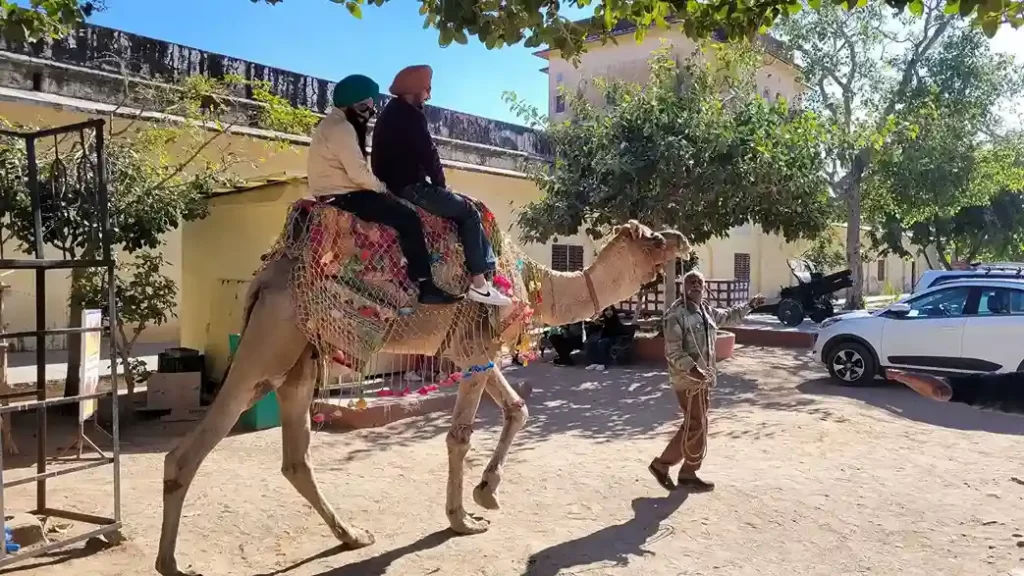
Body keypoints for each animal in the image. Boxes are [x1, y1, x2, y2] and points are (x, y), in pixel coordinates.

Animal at [155, 202, 689, 575]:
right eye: (653, 239)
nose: (683, 241)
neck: (537, 287)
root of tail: (265, 276)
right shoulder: (476, 345)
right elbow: (460, 437)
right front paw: (463, 518)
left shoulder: (473, 352)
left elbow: (518, 409)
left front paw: (486, 494)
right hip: (269, 341)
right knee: (191, 450)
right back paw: (173, 564)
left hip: (299, 358)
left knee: (295, 458)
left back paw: (353, 535)